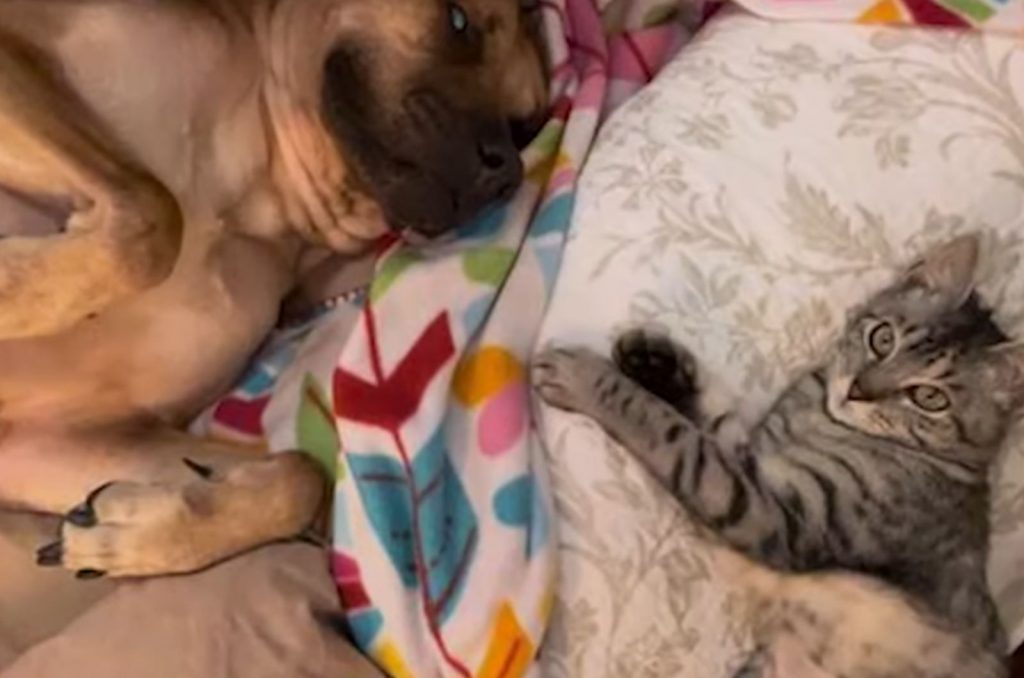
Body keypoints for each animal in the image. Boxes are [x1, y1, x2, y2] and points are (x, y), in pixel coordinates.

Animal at [0, 0, 548, 577]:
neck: (255, 191)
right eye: (458, 22)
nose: (504, 166)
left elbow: (305, 477)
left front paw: (140, 530)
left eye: (524, 126)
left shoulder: (40, 438)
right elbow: (153, 213)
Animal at [536, 235, 1015, 678]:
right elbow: (712, 416)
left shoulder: (774, 514)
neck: (820, 414)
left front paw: (584, 377)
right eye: (882, 339)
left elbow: (668, 431)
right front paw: (656, 362)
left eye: (929, 397)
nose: (857, 390)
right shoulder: (752, 461)